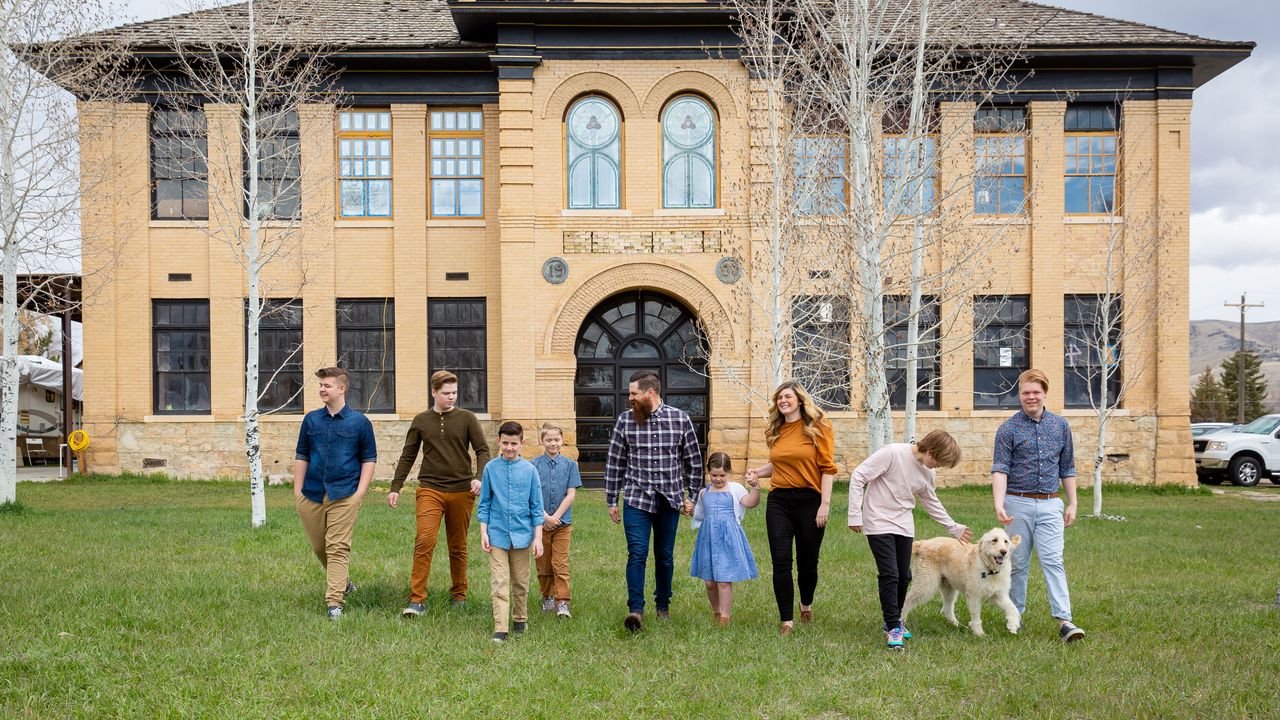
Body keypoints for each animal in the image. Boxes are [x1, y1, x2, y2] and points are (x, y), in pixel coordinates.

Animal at [896, 527, 1024, 632]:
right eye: (994, 540)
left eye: (1006, 542)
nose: (1004, 552)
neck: (989, 570)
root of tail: (922, 543)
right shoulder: (974, 596)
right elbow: (976, 616)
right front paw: (979, 633)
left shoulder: (999, 596)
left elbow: (1013, 609)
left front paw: (1013, 625)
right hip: (925, 584)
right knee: (907, 600)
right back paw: (901, 621)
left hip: (949, 588)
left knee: (947, 609)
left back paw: (957, 625)